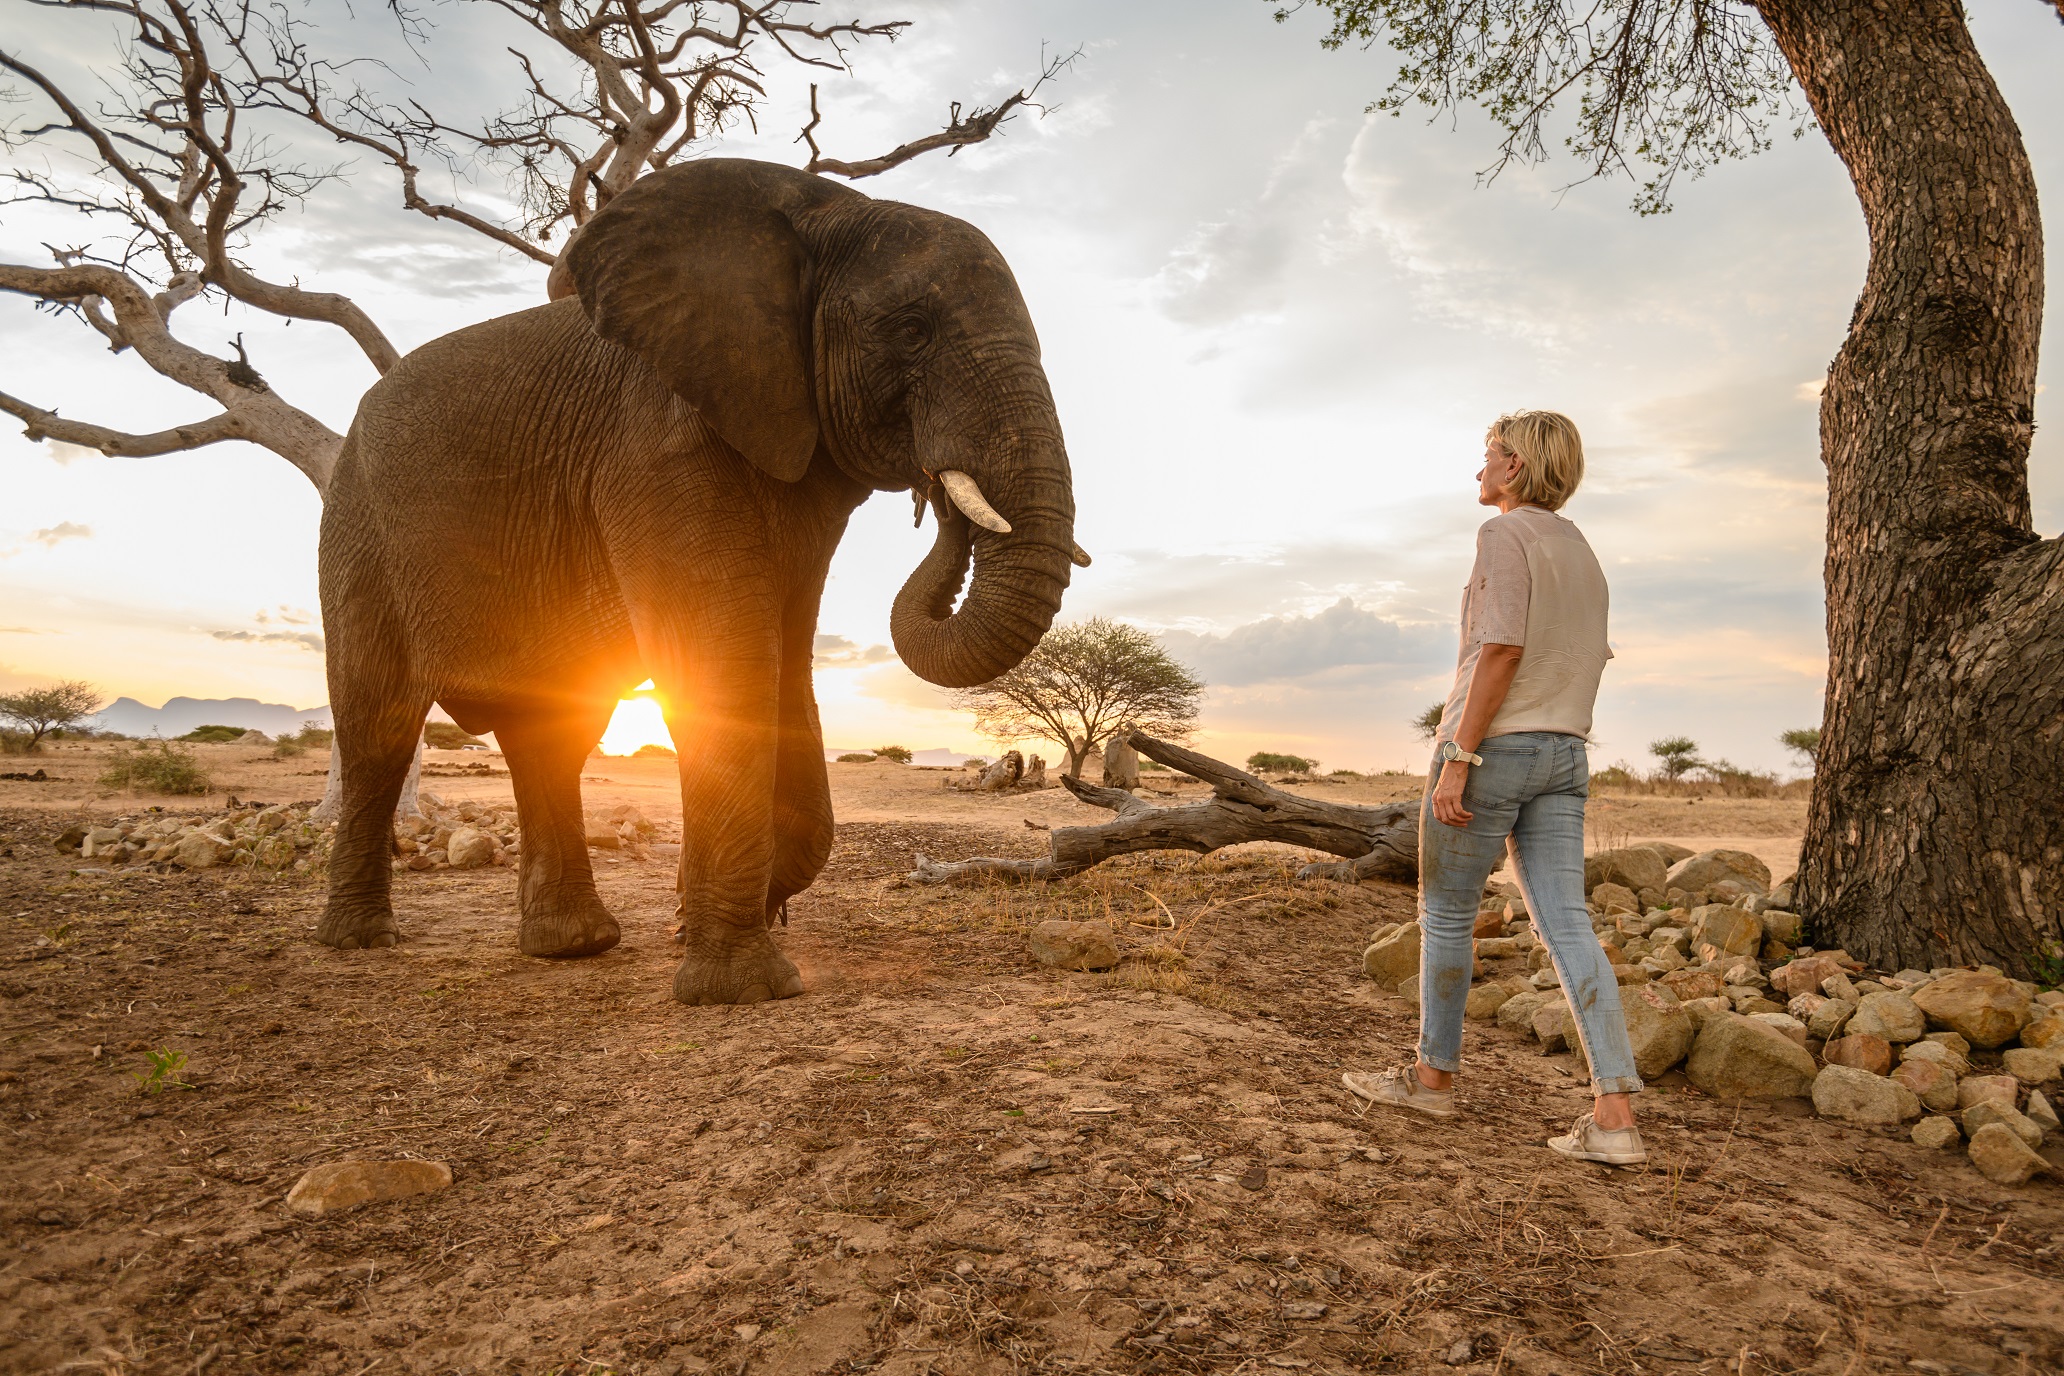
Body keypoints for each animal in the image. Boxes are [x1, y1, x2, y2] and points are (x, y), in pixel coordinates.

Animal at [314, 158, 1081, 1004]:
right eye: (912, 330)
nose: (938, 498)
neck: (820, 214)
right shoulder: (657, 447)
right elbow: (725, 660)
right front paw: (741, 988)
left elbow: (783, 662)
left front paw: (700, 920)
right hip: (357, 523)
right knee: (379, 723)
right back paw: (362, 940)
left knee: (554, 732)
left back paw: (571, 946)